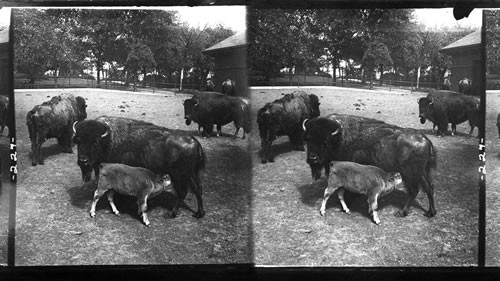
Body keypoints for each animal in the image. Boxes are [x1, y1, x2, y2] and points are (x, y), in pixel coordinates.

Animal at [72, 116, 205, 219]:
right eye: (78, 141)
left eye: (95, 142)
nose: (83, 161)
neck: (108, 140)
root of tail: (195, 143)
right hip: (192, 174)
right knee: (197, 189)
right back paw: (199, 214)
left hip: (179, 176)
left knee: (183, 192)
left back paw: (171, 214)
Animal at [300, 113, 438, 217]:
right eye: (308, 139)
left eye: (324, 141)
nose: (313, 159)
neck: (339, 138)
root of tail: (425, 140)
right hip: (422, 172)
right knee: (429, 187)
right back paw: (430, 213)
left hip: (410, 174)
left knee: (415, 190)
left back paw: (402, 212)